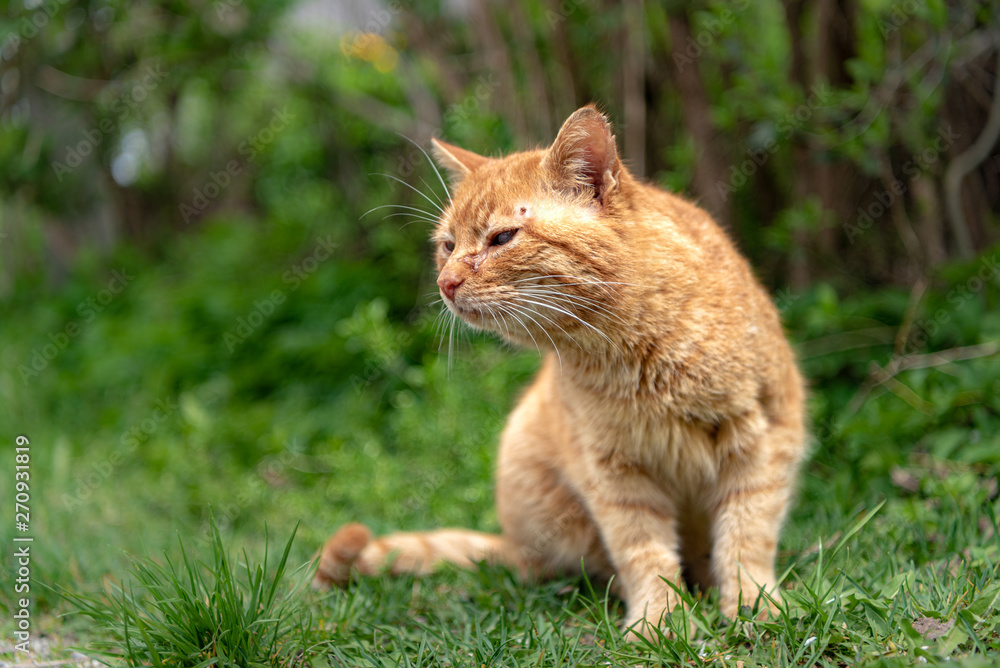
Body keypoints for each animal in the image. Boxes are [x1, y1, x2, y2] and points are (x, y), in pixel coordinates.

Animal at [316, 104, 808, 636]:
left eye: (502, 238)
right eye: (447, 245)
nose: (446, 283)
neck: (635, 353)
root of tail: (512, 542)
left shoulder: (765, 441)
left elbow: (747, 538)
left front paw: (754, 608)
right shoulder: (612, 472)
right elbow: (644, 552)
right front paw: (661, 622)